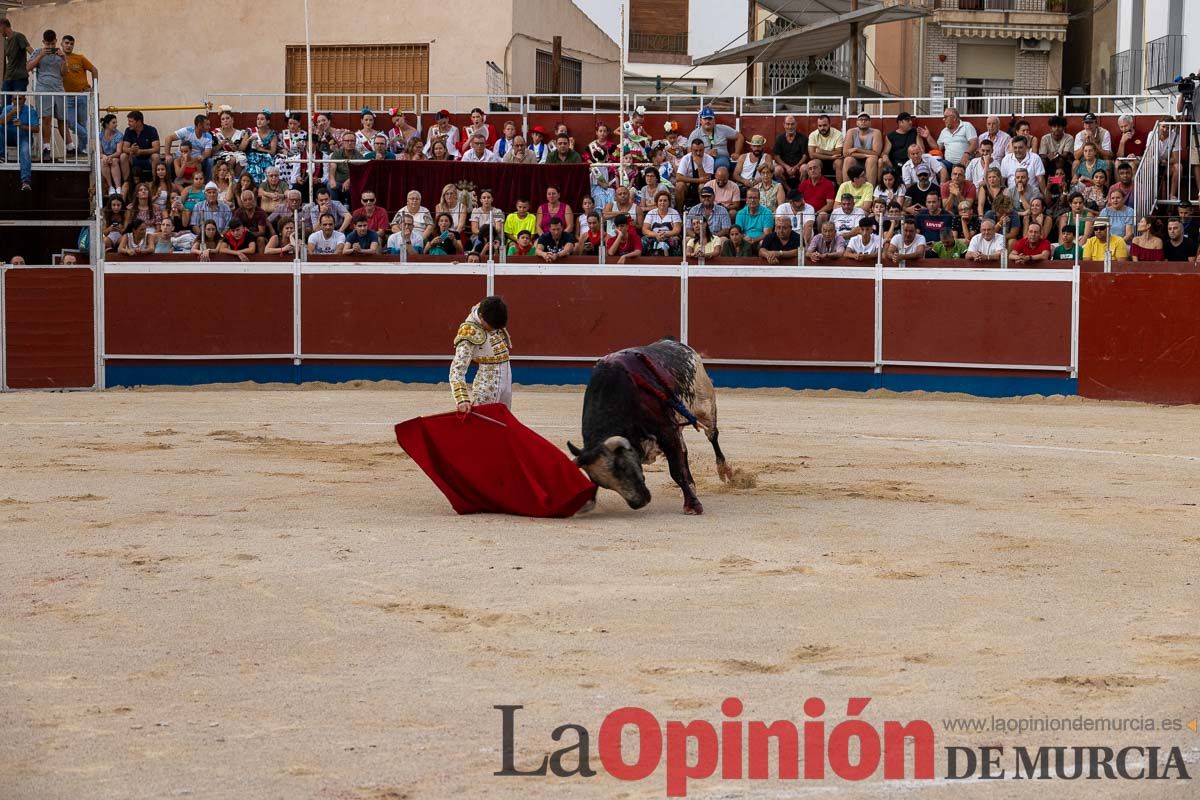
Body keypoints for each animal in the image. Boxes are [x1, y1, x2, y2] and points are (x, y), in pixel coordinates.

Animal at [568, 340, 729, 515]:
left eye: (624, 467)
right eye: (602, 482)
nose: (639, 502)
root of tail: (676, 343)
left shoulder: (667, 432)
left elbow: (676, 471)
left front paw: (693, 505)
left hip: (705, 405)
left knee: (712, 436)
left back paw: (724, 471)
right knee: (684, 451)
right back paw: (692, 485)